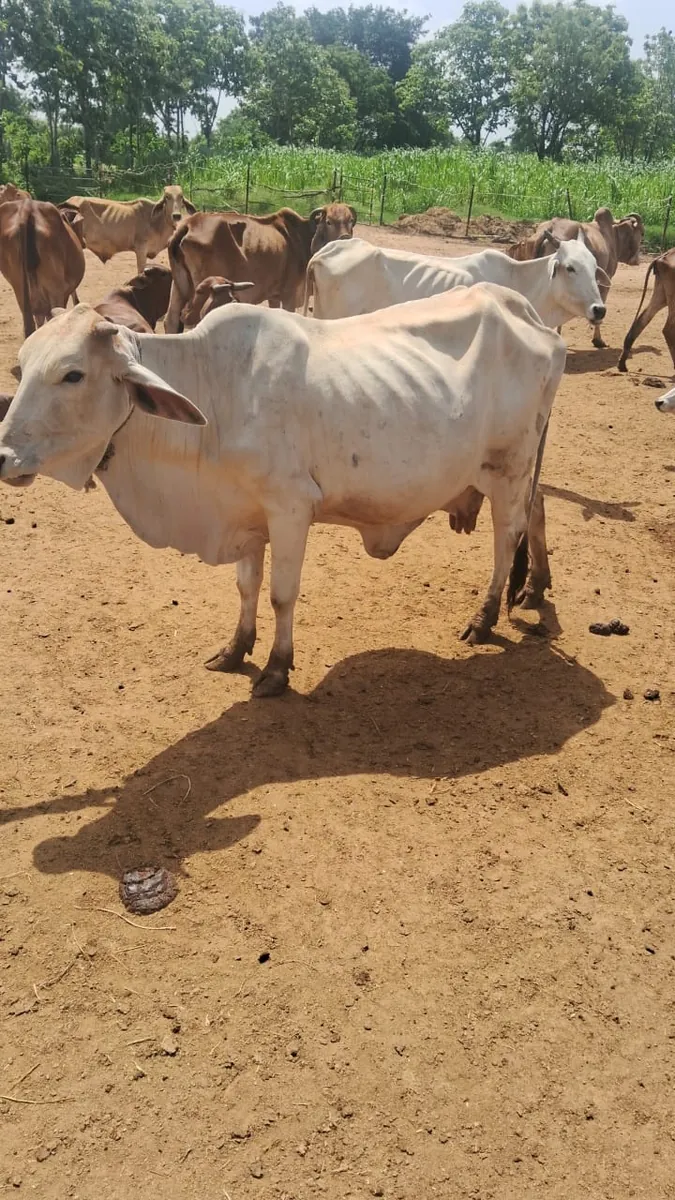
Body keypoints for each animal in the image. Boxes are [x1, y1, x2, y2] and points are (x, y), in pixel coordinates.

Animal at [0, 287, 566, 697]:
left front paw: (276, 668)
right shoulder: (246, 515)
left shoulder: (291, 508)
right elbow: (246, 588)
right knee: (536, 510)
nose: (3, 455)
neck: (216, 393)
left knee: (506, 536)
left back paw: (485, 618)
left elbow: (280, 594)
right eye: (21, 368)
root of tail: (526, 311)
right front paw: (235, 650)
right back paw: (534, 588)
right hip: (514, 470)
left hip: (509, 467)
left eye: (73, 374)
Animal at [60, 186, 196, 275]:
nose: (176, 215)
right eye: (167, 197)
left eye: (181, 197)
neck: (157, 221)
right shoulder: (141, 249)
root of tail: (67, 202)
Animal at [165, 204, 357, 333]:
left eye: (350, 221)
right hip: (204, 287)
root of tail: (189, 224)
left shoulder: (274, 296)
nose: (345, 238)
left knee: (171, 321)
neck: (299, 238)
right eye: (329, 222)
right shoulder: (289, 294)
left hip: (179, 286)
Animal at [507, 208, 644, 348]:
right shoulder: (604, 283)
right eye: (642, 233)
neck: (612, 236)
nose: (637, 260)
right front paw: (598, 340)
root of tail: (549, 229)